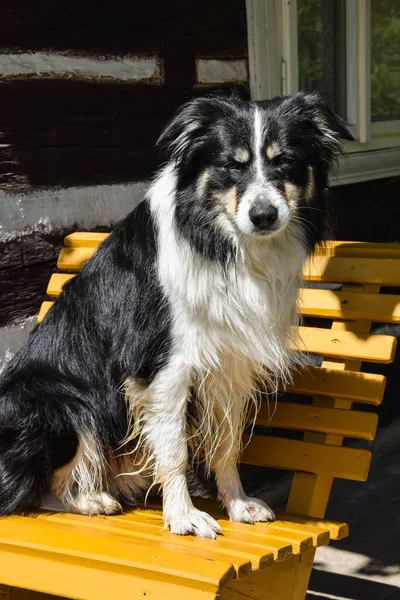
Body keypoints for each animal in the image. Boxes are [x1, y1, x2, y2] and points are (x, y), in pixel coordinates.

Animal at [0, 94, 350, 540]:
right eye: (232, 165)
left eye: (285, 161)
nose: (264, 216)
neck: (221, 242)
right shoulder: (162, 365)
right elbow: (175, 449)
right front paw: (184, 516)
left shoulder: (230, 364)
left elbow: (227, 444)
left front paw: (237, 505)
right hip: (56, 400)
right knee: (31, 489)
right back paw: (91, 500)